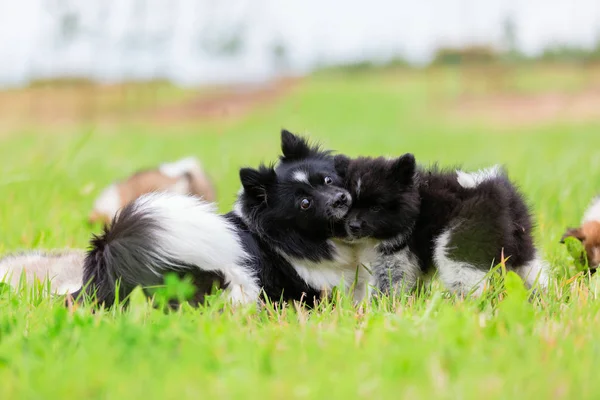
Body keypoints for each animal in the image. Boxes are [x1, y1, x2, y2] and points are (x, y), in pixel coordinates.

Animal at [332, 155, 548, 296]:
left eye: (376, 207)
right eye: (348, 206)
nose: (353, 226)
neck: (416, 205)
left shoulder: (396, 256)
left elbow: (391, 283)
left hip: (461, 241)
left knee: (464, 277)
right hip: (520, 243)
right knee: (530, 270)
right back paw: (539, 297)